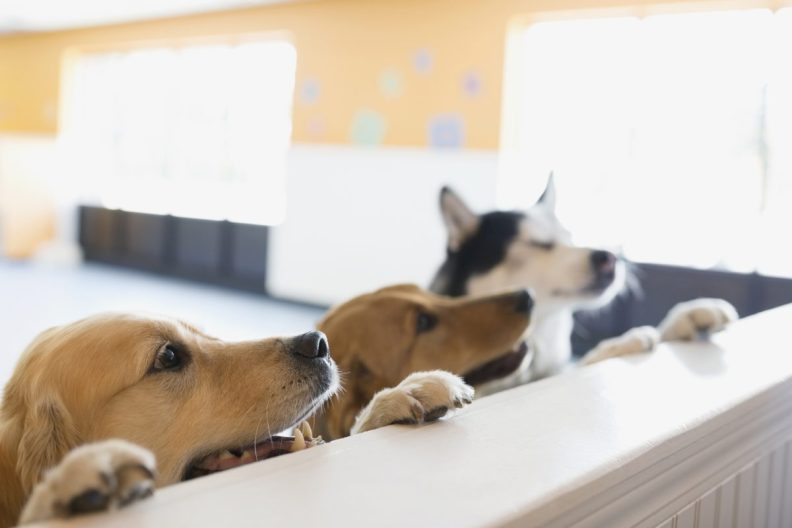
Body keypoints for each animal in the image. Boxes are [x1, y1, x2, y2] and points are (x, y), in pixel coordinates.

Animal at [430, 175, 740, 394]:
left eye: (570, 238)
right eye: (539, 244)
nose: (609, 258)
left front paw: (689, 316)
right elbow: (594, 358)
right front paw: (623, 342)